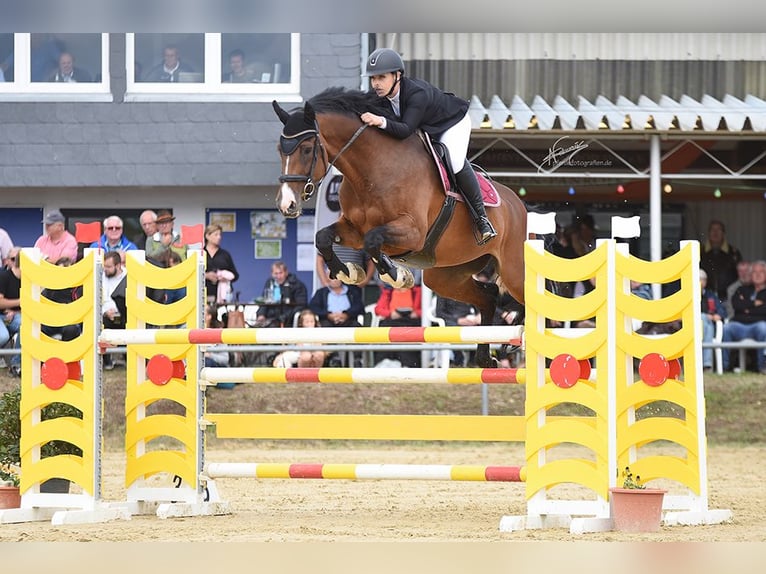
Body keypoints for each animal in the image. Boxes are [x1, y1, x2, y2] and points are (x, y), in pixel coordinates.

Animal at [274, 90, 528, 368]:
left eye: (307, 149)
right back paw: (485, 358)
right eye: (279, 150)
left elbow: (373, 240)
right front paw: (347, 272)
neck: (371, 171)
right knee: (489, 296)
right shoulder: (353, 230)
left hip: (514, 270)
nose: (287, 205)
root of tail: (519, 205)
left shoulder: (413, 234)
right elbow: (324, 237)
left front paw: (396, 275)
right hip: (446, 275)